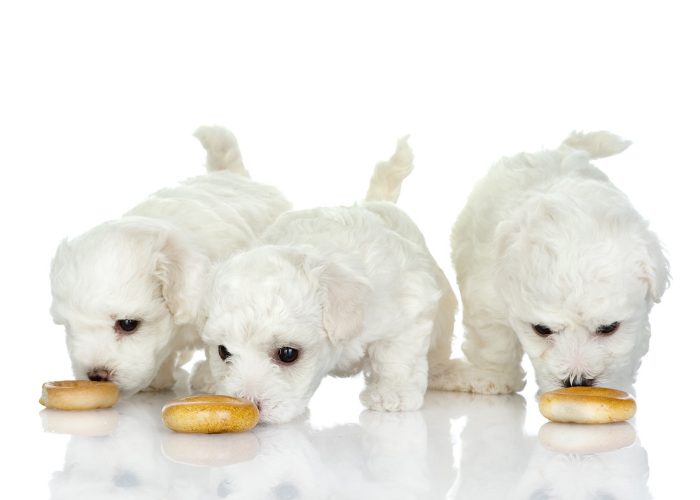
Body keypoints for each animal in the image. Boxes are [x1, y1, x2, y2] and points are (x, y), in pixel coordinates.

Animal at [49, 127, 290, 396]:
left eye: (128, 324)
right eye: (68, 326)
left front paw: (210, 380)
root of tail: (231, 174)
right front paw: (158, 377)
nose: (95, 376)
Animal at [197, 139, 460, 424]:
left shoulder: (409, 303)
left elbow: (396, 353)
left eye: (287, 353)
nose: (248, 404)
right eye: (223, 351)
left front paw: (393, 393)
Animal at [442, 132, 668, 394]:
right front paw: (494, 379)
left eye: (609, 327)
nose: (577, 382)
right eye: (541, 329)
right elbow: (495, 342)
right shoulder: (486, 295)